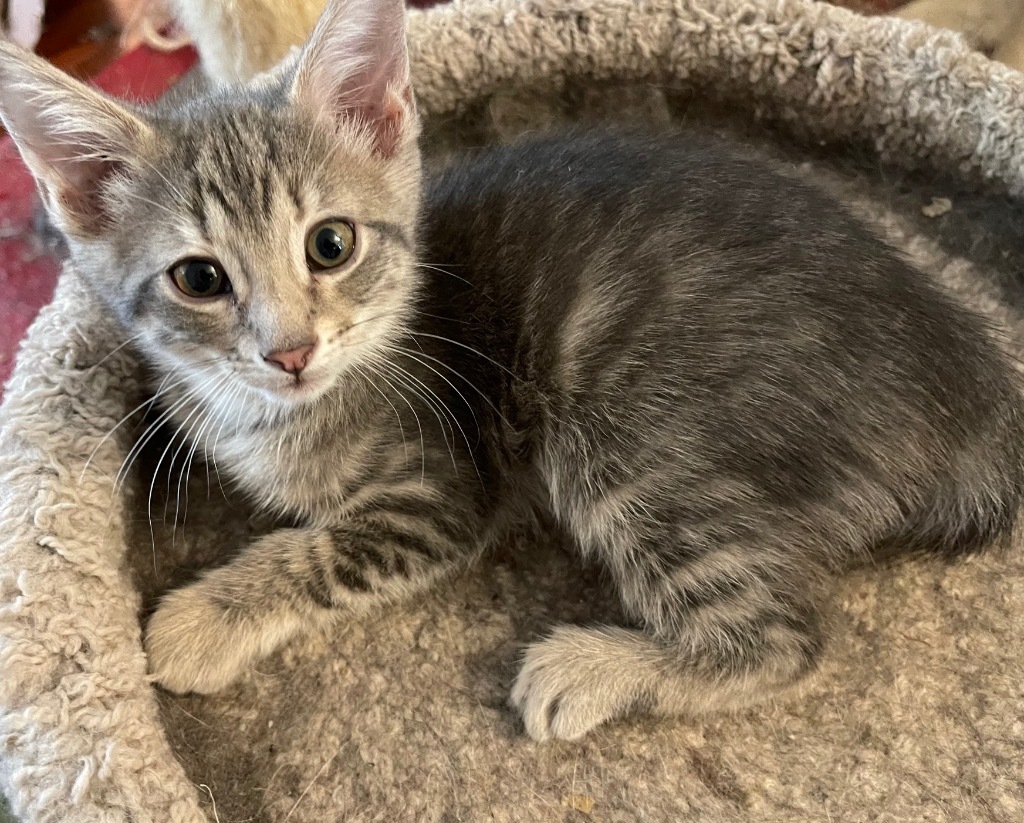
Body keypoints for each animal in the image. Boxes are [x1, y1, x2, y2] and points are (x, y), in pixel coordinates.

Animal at [2, 0, 1024, 741]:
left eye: (330, 244)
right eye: (199, 279)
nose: (289, 350)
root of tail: (968, 378)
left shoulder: (441, 489)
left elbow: (321, 549)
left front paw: (200, 619)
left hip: (626, 434)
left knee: (788, 641)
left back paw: (596, 667)